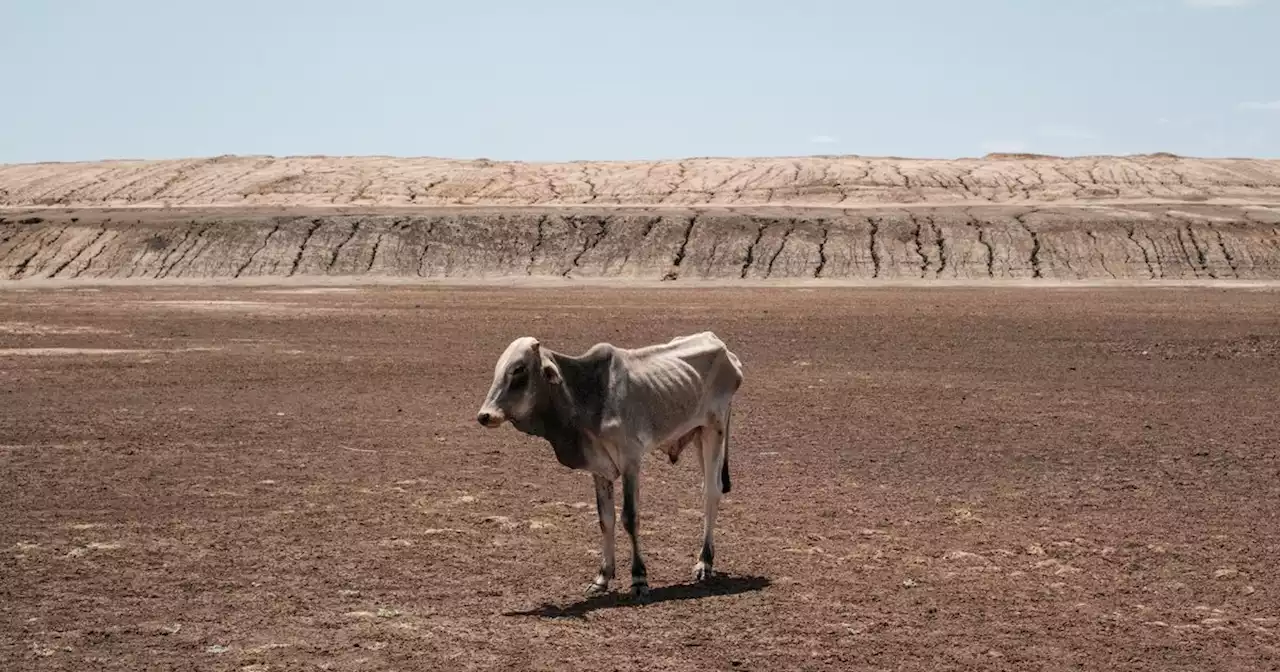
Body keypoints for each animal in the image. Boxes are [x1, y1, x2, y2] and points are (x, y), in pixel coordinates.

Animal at [476, 330, 747, 596]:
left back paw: (704, 562)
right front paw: (602, 578)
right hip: (699, 433)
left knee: (711, 492)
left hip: (715, 429)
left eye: (519, 369)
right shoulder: (600, 468)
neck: (589, 394)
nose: (485, 415)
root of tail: (723, 348)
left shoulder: (630, 461)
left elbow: (630, 517)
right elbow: (605, 519)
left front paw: (639, 578)